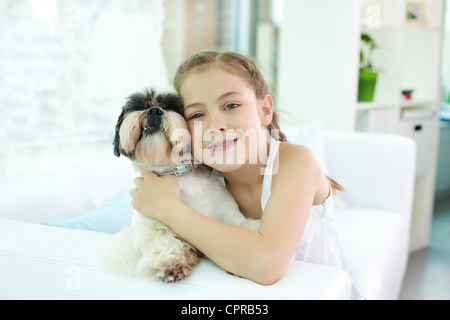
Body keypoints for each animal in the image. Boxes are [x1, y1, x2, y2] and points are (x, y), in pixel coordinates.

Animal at [96, 88, 262, 282]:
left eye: (170, 106)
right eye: (139, 106)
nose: (154, 111)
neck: (176, 173)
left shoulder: (229, 215)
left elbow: (241, 227)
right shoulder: (146, 226)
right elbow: (160, 237)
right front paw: (170, 263)